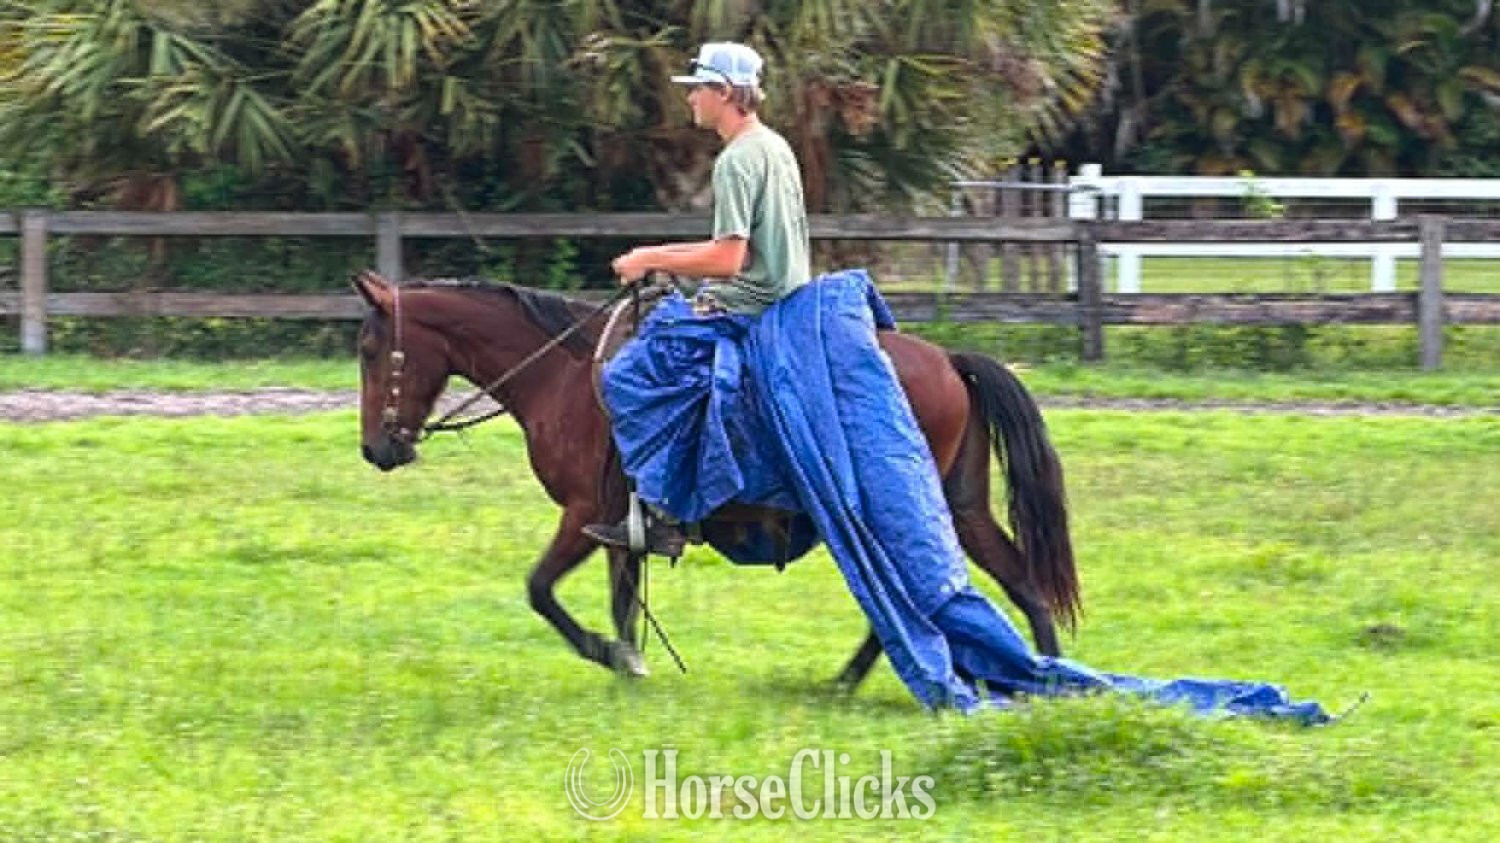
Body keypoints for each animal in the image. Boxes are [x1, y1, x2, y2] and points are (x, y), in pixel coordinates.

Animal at [352, 269, 1078, 688]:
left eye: (368, 349)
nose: (375, 449)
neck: (561, 372)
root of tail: (950, 359)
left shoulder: (582, 513)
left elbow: (539, 589)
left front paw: (614, 657)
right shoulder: (620, 527)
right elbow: (621, 602)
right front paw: (630, 668)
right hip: (960, 503)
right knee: (1012, 580)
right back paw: (1037, 678)